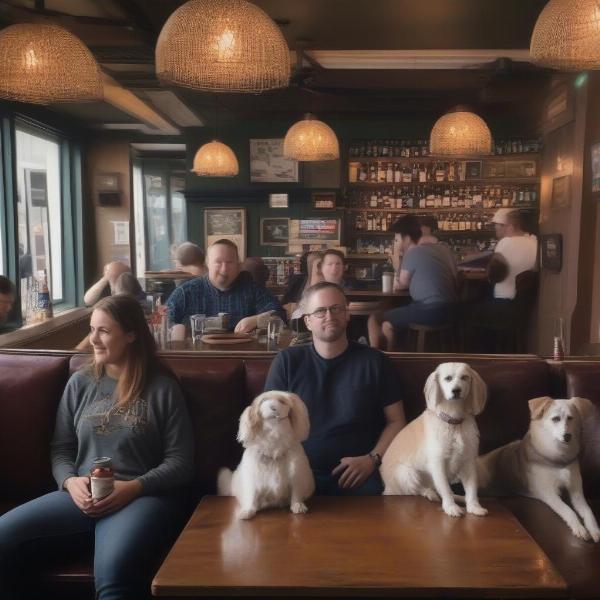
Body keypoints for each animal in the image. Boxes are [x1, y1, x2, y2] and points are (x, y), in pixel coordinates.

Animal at [382, 364, 490, 516]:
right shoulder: (438, 463)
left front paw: (474, 506)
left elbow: (471, 488)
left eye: (464, 377)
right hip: (407, 474)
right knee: (416, 490)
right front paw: (451, 507)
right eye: (448, 378)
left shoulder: (468, 461)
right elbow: (445, 488)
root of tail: (387, 487)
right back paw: (430, 493)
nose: (456, 390)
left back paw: (457, 497)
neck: (453, 423)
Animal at [478, 396, 600, 540]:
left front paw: (594, 530)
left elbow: (588, 511)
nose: (567, 436)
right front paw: (579, 528)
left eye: (570, 418)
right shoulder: (549, 493)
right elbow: (568, 510)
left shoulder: (577, 493)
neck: (559, 458)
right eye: (555, 419)